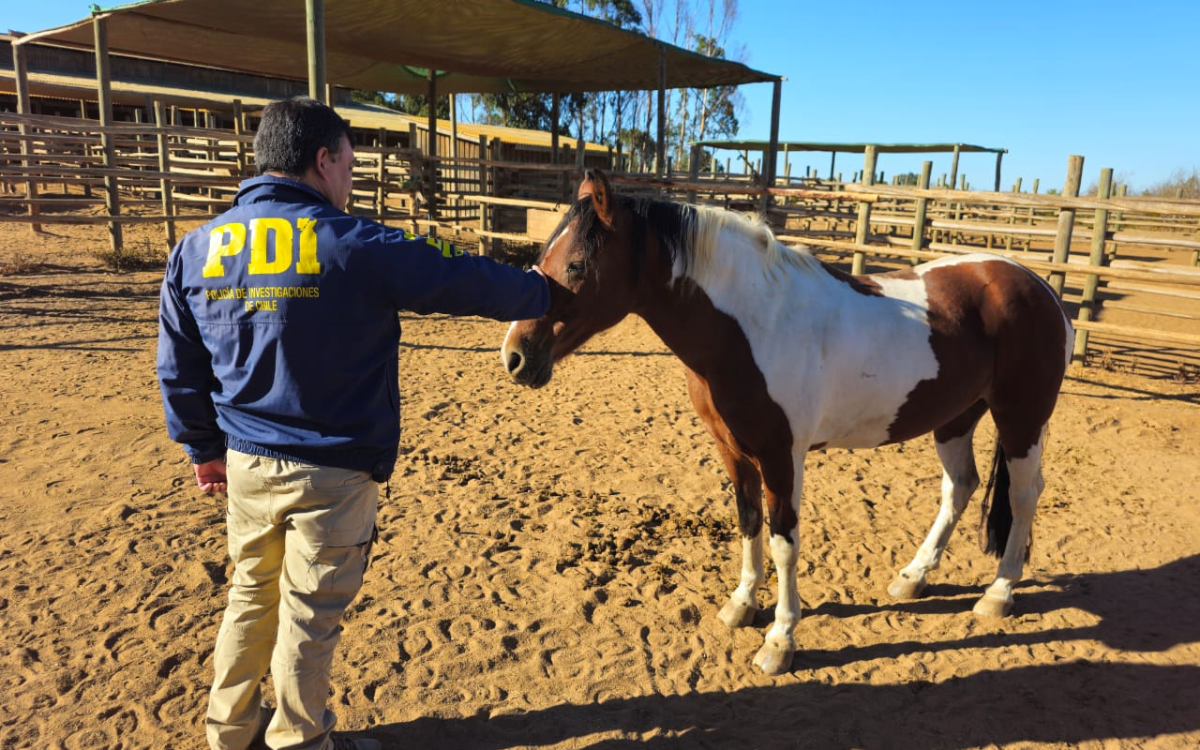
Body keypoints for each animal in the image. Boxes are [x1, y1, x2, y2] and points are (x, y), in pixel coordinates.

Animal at [501, 171, 1075, 672]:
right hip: (956, 418)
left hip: (1022, 417)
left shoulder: (782, 455)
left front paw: (780, 640)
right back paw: (914, 577)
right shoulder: (734, 451)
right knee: (960, 487)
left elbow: (783, 543)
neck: (754, 323)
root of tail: (1039, 287)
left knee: (1024, 494)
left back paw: (999, 592)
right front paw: (741, 605)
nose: (515, 356)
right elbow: (749, 522)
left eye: (577, 265)